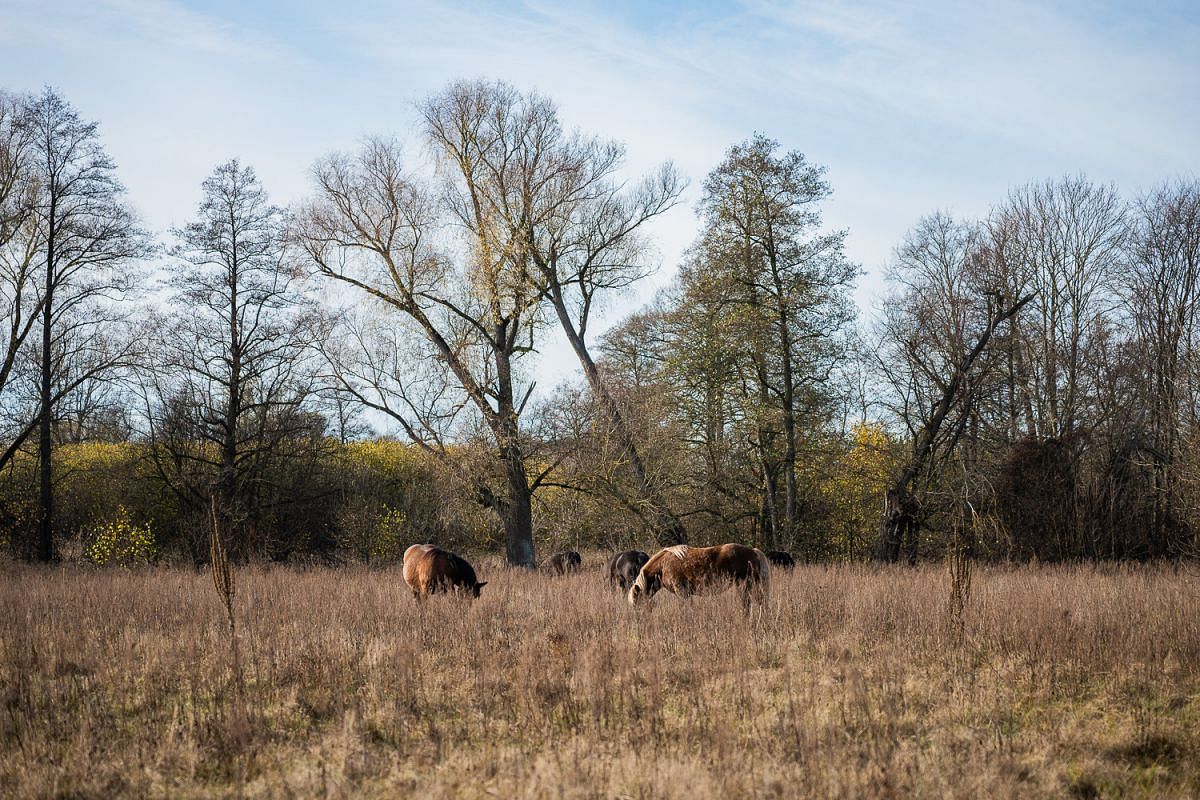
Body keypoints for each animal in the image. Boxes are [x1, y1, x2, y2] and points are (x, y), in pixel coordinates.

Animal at [628, 544, 768, 614]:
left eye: (637, 604)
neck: (663, 565)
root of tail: (753, 551)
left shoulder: (682, 593)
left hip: (744, 585)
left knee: (749, 604)